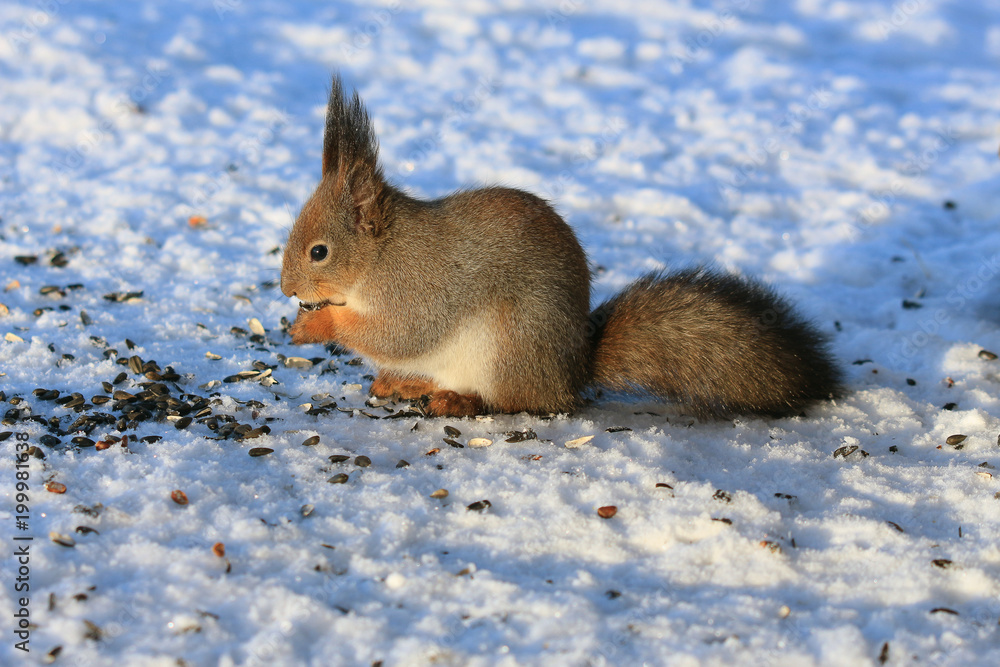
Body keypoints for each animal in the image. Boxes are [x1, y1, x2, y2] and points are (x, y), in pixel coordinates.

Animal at [281, 75, 842, 419]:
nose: (285, 288)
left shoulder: (419, 289)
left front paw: (316, 325)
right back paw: (410, 385)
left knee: (520, 403)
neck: (381, 256)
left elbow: (398, 333)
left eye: (318, 252)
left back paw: (458, 402)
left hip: (509, 346)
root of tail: (571, 371)